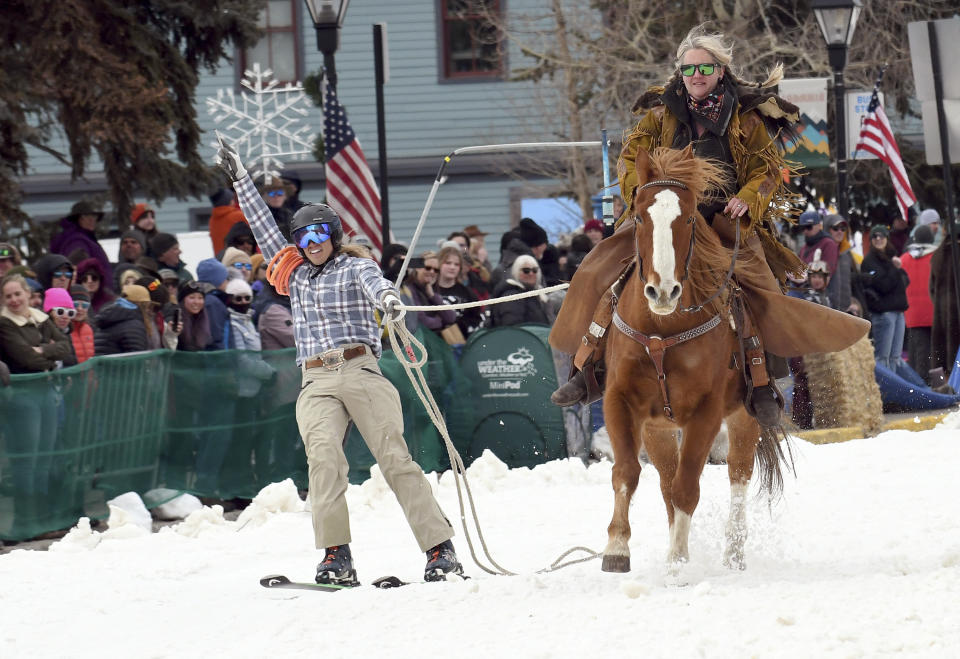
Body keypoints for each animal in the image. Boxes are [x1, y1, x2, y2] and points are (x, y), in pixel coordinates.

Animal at [604, 147, 792, 576]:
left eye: (688, 218)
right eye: (639, 217)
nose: (663, 291)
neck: (660, 331)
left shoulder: (706, 412)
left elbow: (689, 487)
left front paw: (676, 566)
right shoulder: (620, 401)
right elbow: (627, 472)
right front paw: (617, 548)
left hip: (744, 416)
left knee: (737, 473)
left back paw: (733, 553)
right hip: (657, 429)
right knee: (665, 482)